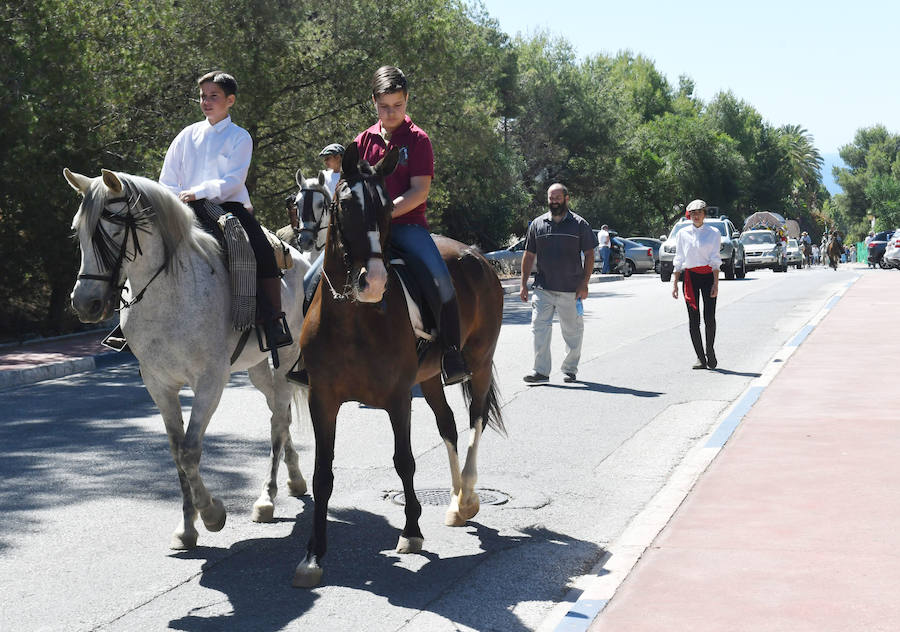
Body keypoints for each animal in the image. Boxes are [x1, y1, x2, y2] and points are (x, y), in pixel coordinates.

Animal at [64, 168, 310, 548]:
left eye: (113, 230)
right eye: (80, 231)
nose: (84, 304)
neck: (170, 293)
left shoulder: (210, 381)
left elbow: (190, 451)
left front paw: (212, 514)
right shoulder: (159, 385)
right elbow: (176, 451)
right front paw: (187, 528)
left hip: (285, 358)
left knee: (278, 420)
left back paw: (266, 499)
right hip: (257, 368)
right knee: (278, 414)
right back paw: (293, 480)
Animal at [294, 143, 506, 588]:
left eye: (387, 207)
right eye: (344, 205)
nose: (372, 281)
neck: (354, 316)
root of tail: (478, 256)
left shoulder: (396, 398)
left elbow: (404, 461)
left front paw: (410, 532)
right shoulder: (323, 399)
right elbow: (322, 474)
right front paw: (313, 555)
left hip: (478, 363)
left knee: (475, 420)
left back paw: (468, 497)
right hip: (430, 380)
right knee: (448, 427)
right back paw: (456, 501)